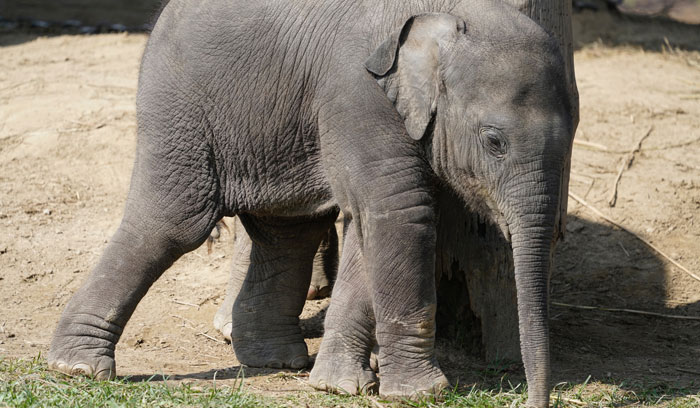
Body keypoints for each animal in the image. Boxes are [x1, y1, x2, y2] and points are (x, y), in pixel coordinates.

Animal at [47, 0, 576, 405]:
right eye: (494, 142)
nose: (534, 399)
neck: (450, 14)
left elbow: (371, 223)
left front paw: (340, 386)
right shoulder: (359, 93)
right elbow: (399, 214)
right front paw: (420, 394)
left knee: (288, 229)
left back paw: (276, 359)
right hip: (179, 104)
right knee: (172, 221)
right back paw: (77, 368)